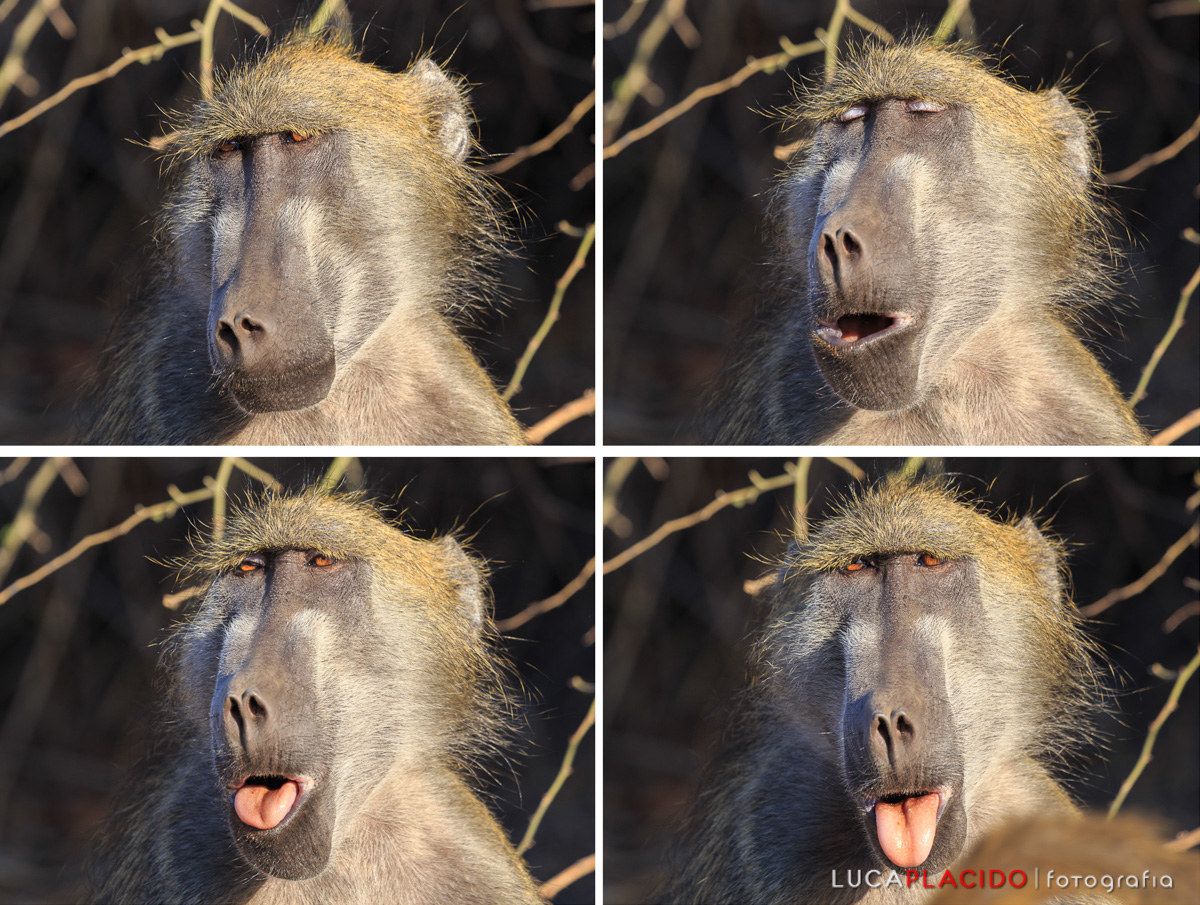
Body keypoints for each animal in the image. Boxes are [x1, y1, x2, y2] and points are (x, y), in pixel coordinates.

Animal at [87, 489, 545, 904]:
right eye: (249, 568)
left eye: (321, 562)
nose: (240, 703)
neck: (348, 852)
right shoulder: (179, 840)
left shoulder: (471, 857)